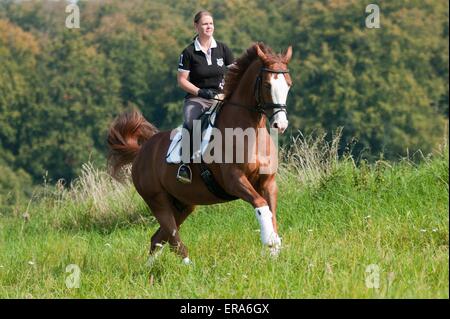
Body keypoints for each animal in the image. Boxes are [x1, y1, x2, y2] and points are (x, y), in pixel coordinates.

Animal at [107, 42, 294, 264]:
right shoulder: (235, 180)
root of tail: (141, 152)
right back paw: (188, 267)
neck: (250, 133)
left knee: (158, 238)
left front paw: (274, 253)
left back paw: (148, 268)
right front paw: (270, 243)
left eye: (288, 84)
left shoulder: (268, 183)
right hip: (157, 200)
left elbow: (271, 213)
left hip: (183, 204)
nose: (280, 125)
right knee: (173, 238)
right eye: (267, 85)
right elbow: (261, 206)